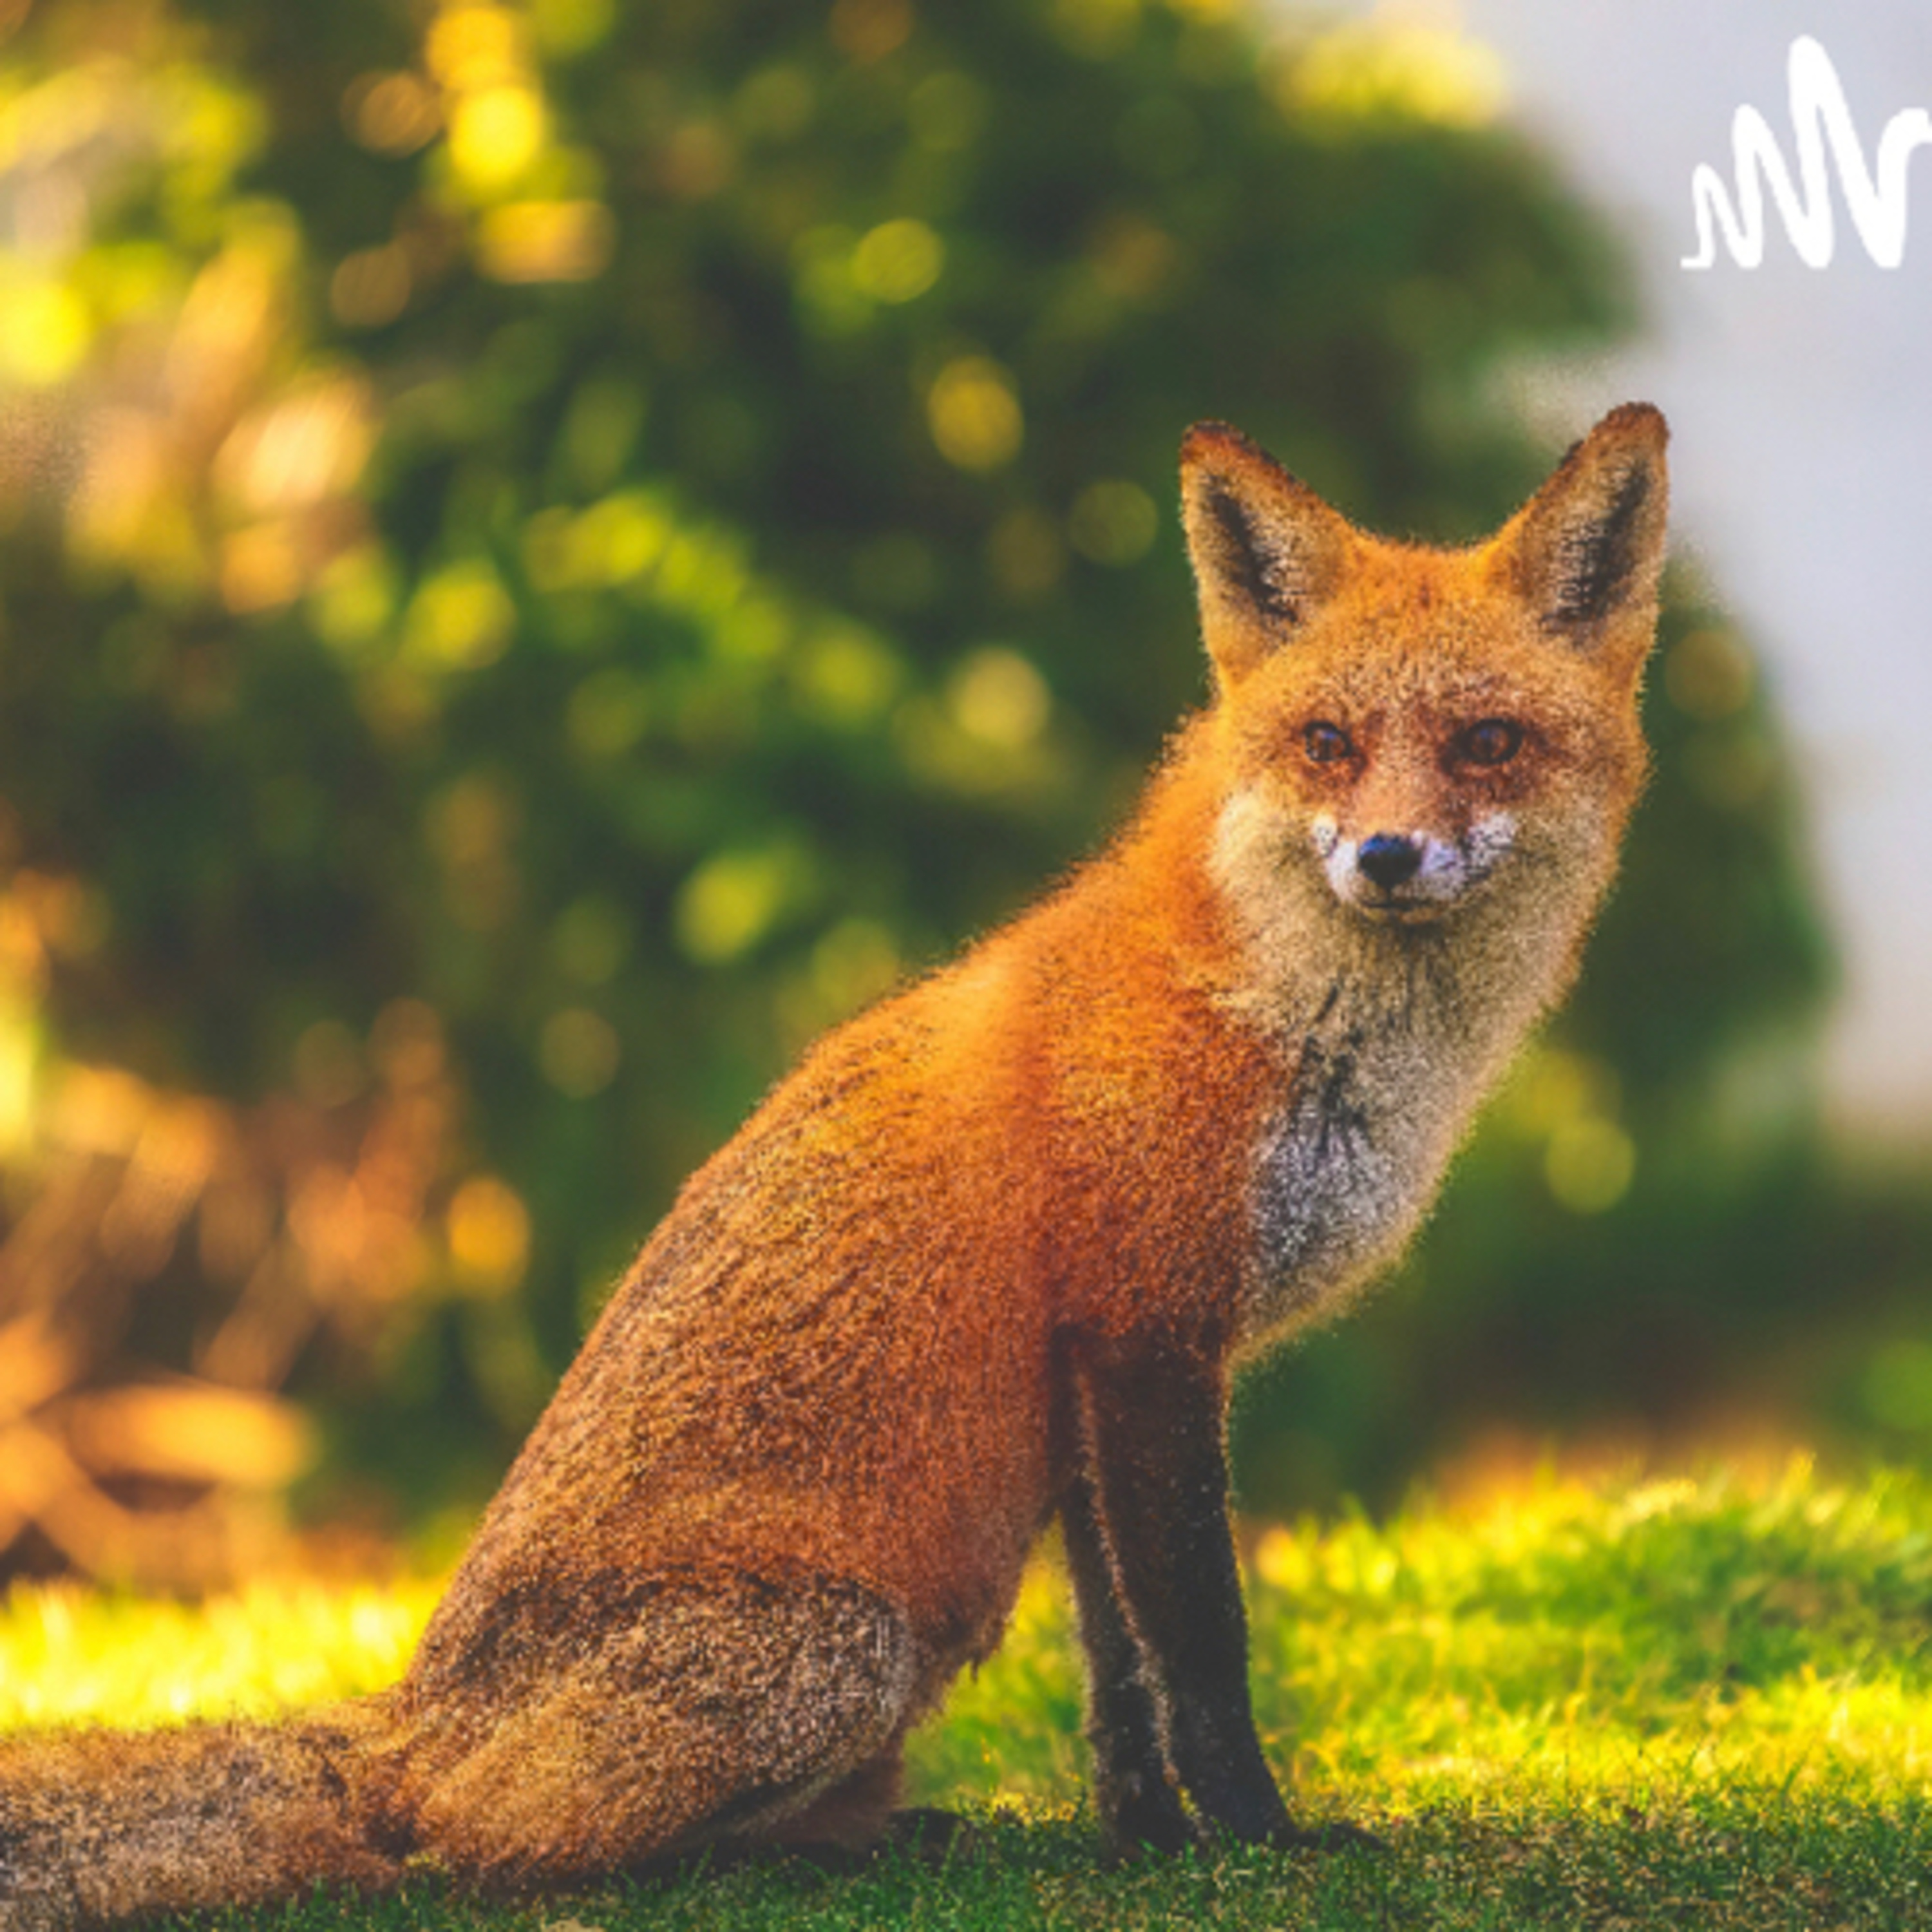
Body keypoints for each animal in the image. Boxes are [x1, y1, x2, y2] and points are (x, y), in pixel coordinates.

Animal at [0, 404, 1668, 1926]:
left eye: (1485, 743)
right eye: (1329, 745)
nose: (1385, 855)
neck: (1276, 1016)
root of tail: (408, 1722)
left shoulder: (1080, 1365)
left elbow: (1114, 1667)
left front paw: (1143, 1839)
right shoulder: (1147, 1327)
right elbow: (1198, 1639)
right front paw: (1259, 1839)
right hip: (845, 1648)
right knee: (481, 1853)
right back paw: (809, 1848)